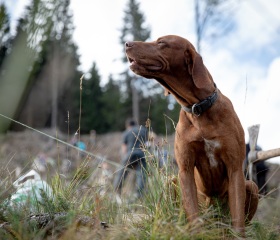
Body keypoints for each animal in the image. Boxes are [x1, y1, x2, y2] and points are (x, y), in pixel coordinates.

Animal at [126, 35, 260, 234]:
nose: (127, 43)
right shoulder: (185, 168)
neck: (199, 108)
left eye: (161, 42)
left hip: (251, 185)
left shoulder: (235, 168)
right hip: (170, 182)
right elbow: (192, 211)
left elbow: (238, 218)